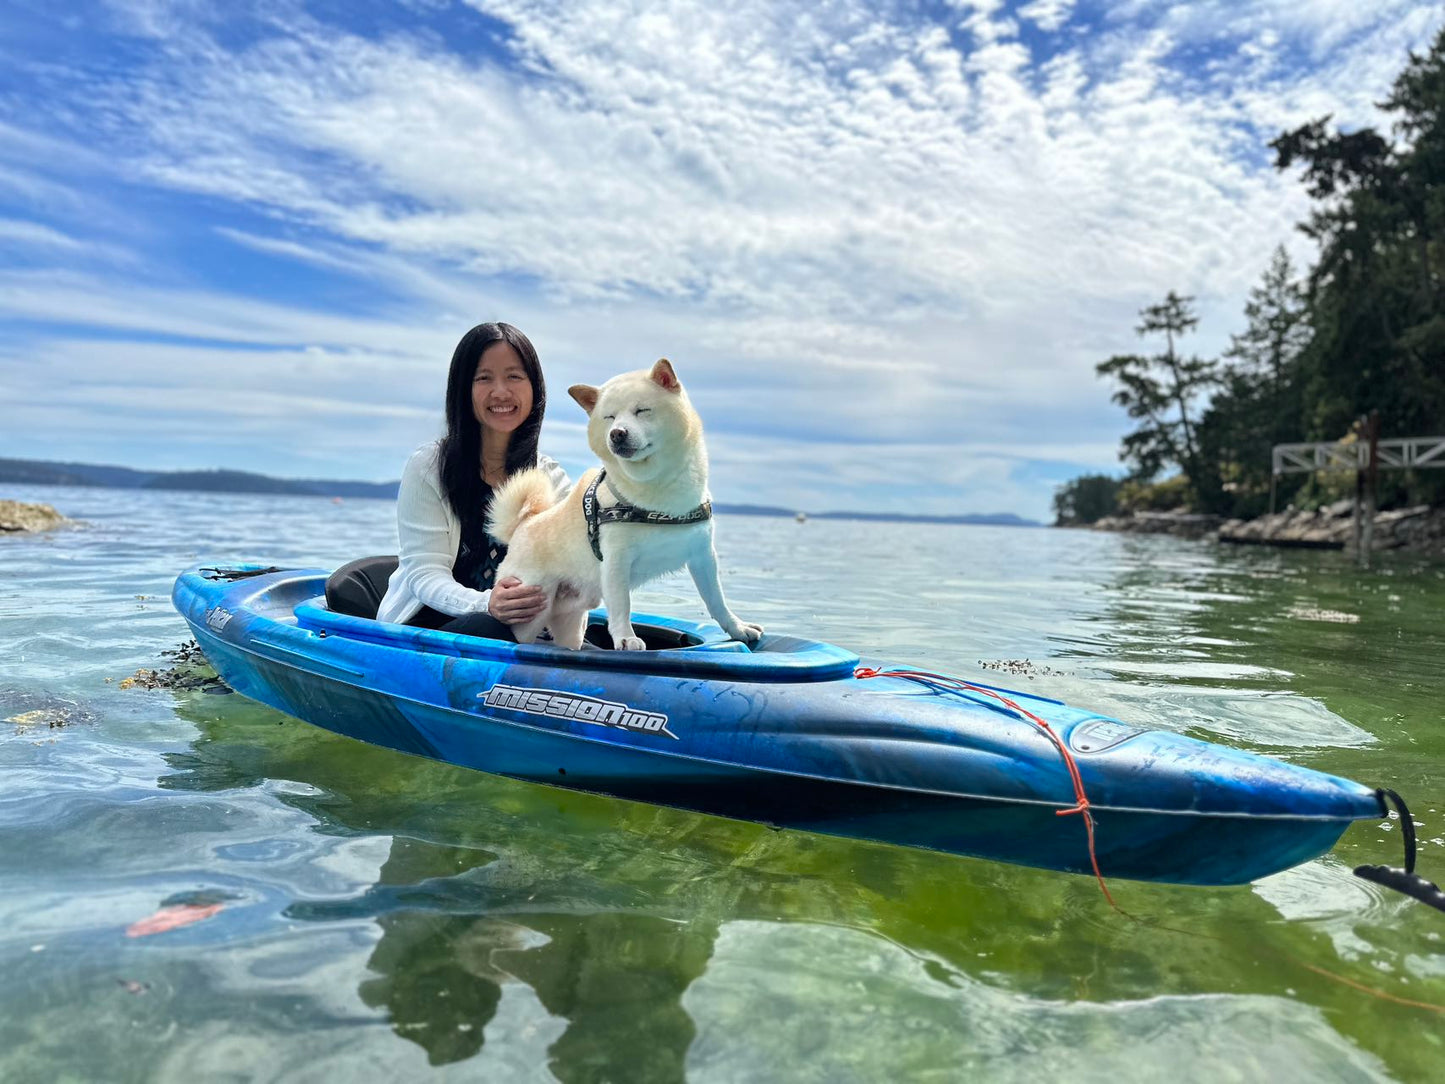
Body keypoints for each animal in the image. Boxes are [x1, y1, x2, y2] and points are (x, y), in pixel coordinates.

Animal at [488, 358, 768, 653]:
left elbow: (717, 599)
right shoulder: (616, 560)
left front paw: (738, 628)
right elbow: (622, 604)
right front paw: (625, 638)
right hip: (531, 607)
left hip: (572, 616)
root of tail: (524, 524)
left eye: (641, 410)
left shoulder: (703, 555)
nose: (617, 433)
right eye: (609, 417)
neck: (658, 495)